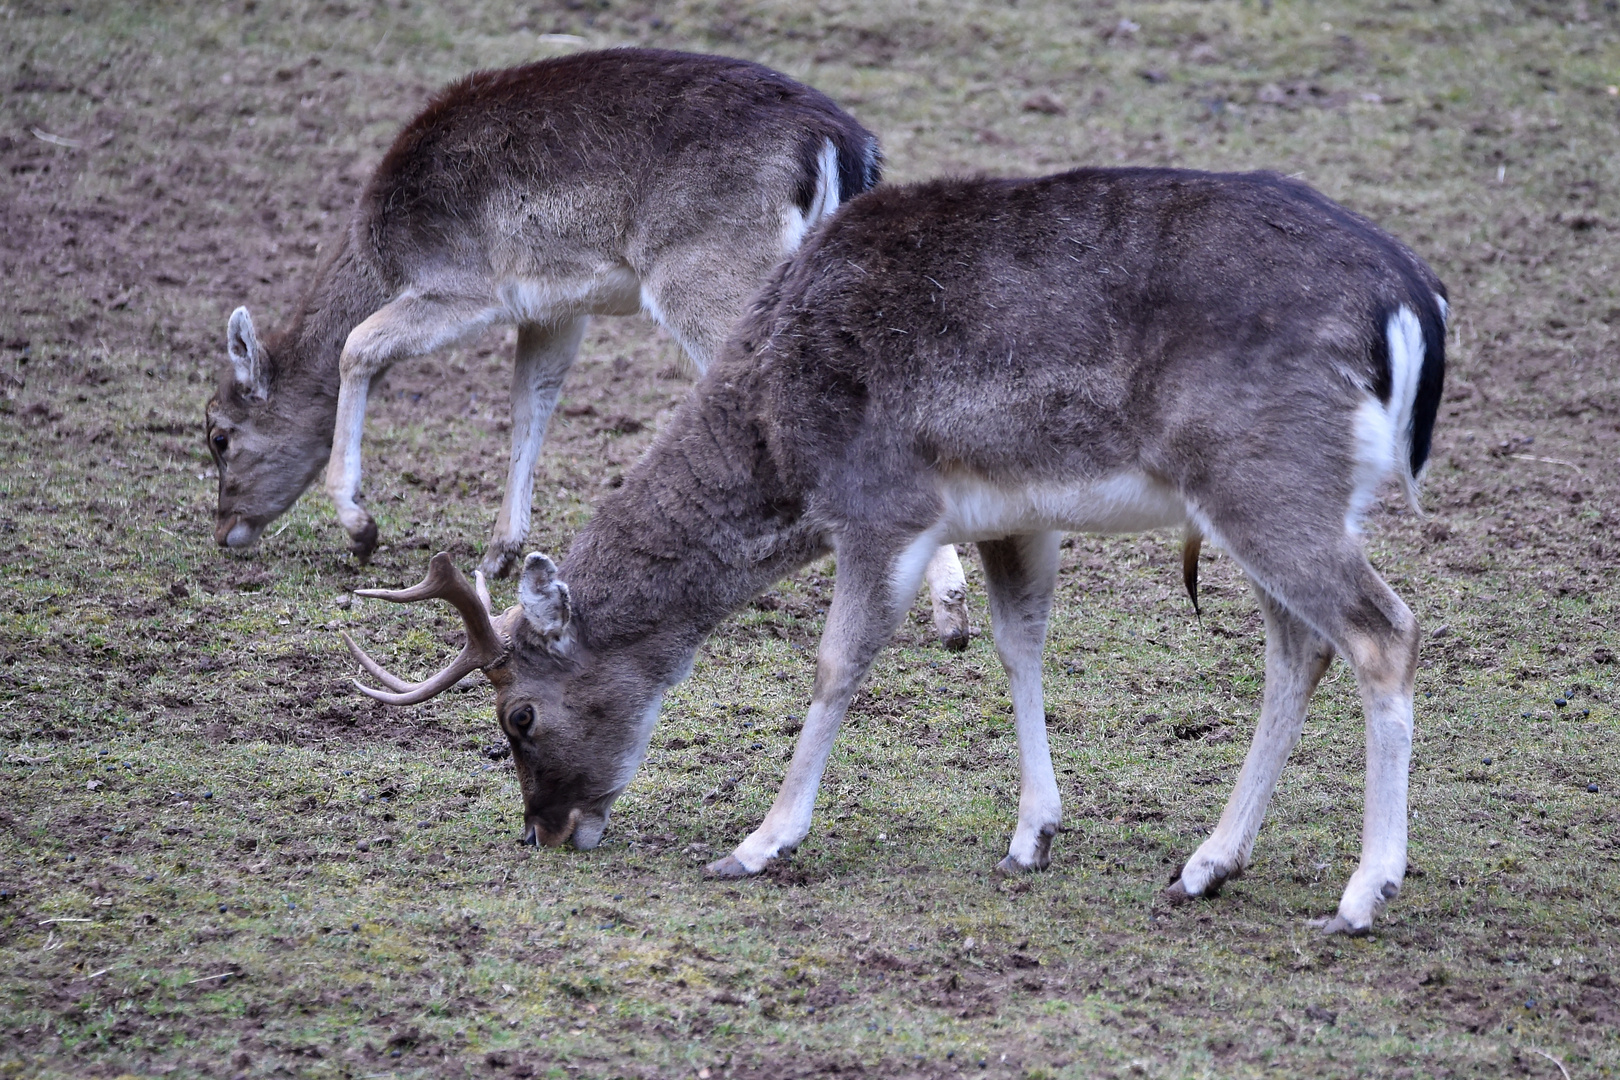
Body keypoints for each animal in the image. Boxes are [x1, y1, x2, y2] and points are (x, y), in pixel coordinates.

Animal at [207, 48, 972, 650]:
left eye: (217, 435)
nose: (223, 530)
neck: (379, 251)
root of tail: (844, 145)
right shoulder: (552, 306)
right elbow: (532, 401)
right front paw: (501, 555)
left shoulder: (464, 285)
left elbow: (357, 345)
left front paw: (360, 527)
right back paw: (947, 610)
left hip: (709, 273)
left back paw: (934, 607)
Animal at [341, 165, 1445, 932]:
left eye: (519, 717)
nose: (546, 830)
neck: (783, 430)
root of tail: (1415, 305)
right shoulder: (1012, 513)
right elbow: (1018, 643)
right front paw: (1032, 835)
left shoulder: (882, 503)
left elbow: (839, 664)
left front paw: (759, 843)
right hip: (1272, 499)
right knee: (1300, 649)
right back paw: (1208, 865)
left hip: (1266, 480)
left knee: (1383, 630)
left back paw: (1362, 895)